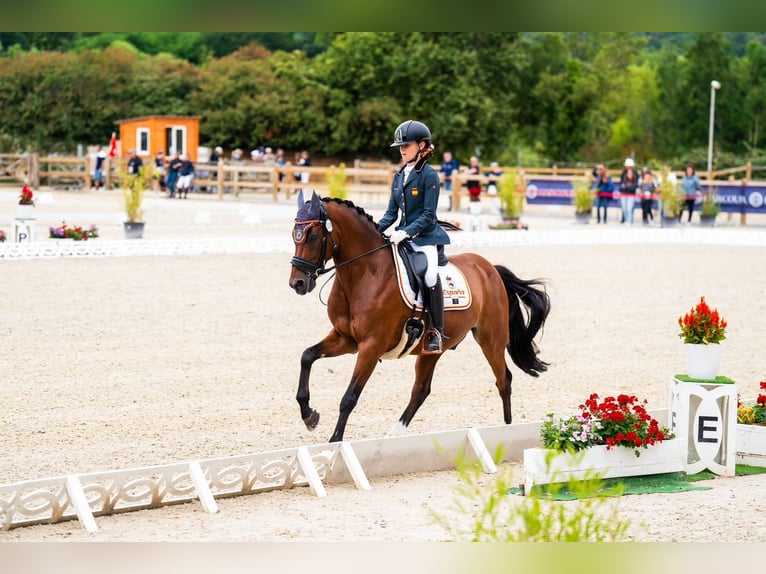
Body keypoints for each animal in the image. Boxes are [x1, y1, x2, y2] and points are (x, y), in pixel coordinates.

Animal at [290, 191, 552, 444]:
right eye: (295, 235)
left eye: (313, 236)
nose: (298, 283)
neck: (365, 274)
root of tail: (490, 269)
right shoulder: (346, 338)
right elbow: (307, 356)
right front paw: (309, 416)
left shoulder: (371, 346)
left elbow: (350, 397)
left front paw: (335, 441)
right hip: (432, 350)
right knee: (421, 390)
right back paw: (394, 435)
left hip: (491, 340)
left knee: (504, 380)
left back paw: (507, 429)